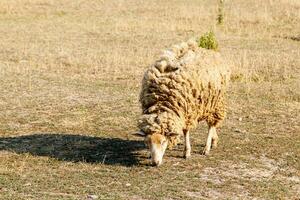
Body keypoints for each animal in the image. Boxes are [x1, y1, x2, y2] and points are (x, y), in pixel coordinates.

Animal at [135, 38, 231, 166]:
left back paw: (206, 148)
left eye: (163, 141)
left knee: (211, 125)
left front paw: (187, 152)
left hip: (215, 102)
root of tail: (209, 51)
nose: (155, 163)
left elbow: (186, 131)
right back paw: (214, 140)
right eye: (148, 142)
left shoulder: (186, 111)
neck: (161, 101)